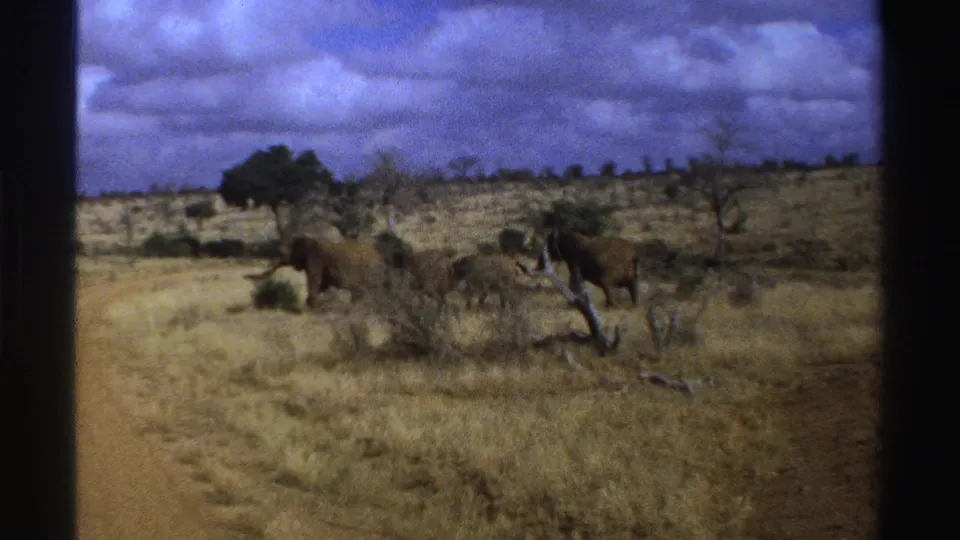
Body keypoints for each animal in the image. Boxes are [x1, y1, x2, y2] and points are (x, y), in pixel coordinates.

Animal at [245, 236, 388, 309]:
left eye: (286, 255)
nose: (244, 276)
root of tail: (380, 257)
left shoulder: (315, 260)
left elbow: (315, 281)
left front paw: (311, 307)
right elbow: (322, 285)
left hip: (370, 271)